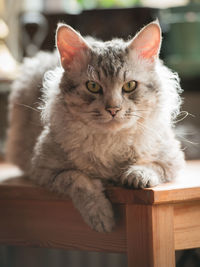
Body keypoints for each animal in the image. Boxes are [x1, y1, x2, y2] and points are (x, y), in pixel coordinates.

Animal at [6, 20, 184, 232]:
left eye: (130, 86)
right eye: (93, 86)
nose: (113, 109)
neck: (110, 143)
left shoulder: (172, 159)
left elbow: (151, 165)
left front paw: (136, 176)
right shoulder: (45, 170)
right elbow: (80, 181)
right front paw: (100, 215)